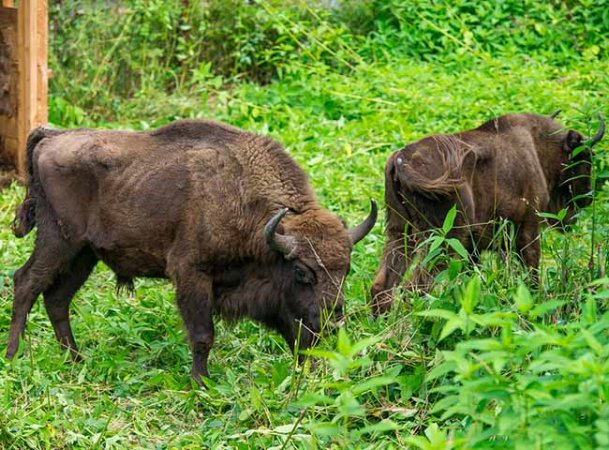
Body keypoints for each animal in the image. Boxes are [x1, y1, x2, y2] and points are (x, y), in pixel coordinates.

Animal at [8, 119, 376, 384]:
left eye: (346, 269)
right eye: (302, 271)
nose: (333, 319)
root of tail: (53, 135)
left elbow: (298, 336)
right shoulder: (192, 274)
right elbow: (203, 335)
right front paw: (201, 383)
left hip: (84, 254)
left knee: (57, 298)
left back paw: (75, 358)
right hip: (58, 241)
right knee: (26, 283)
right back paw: (14, 356)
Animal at [370, 111, 604, 314]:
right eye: (585, 157)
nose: (587, 197)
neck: (537, 148)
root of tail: (402, 161)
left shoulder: (475, 247)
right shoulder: (528, 228)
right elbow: (531, 270)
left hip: (400, 233)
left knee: (382, 285)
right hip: (443, 241)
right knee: (413, 287)